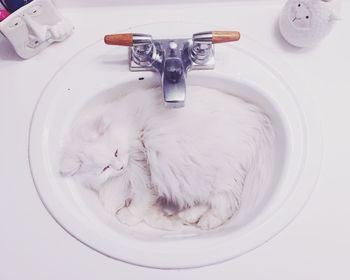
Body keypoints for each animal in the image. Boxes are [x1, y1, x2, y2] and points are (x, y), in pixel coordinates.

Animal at [59, 85, 274, 230]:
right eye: (105, 168)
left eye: (116, 152)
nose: (119, 166)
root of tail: (258, 120)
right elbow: (127, 202)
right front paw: (165, 220)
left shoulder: (143, 170)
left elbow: (139, 200)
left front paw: (127, 215)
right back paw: (187, 217)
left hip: (219, 175)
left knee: (226, 204)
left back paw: (207, 221)